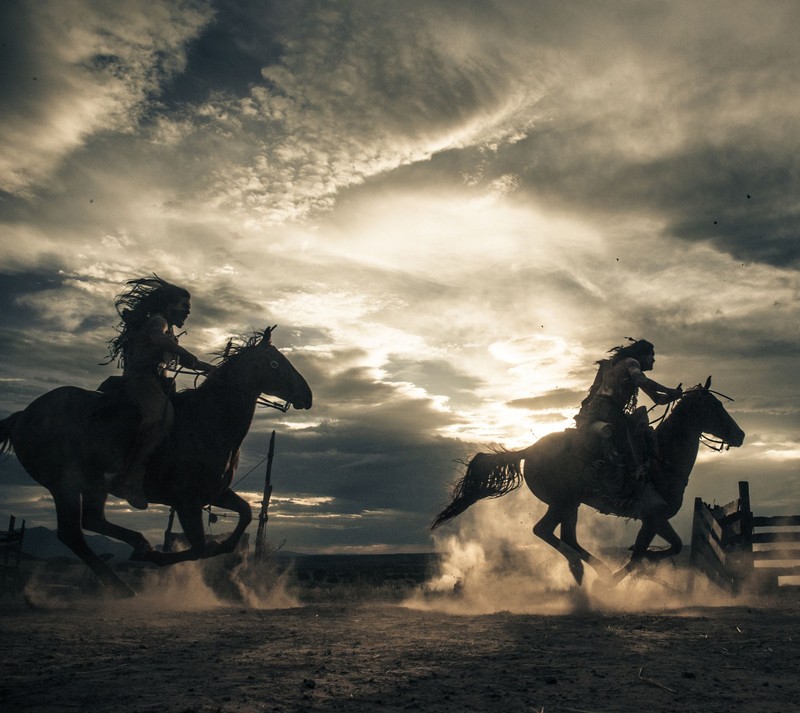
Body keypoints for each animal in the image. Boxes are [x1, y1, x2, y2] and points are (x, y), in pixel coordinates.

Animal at [0, 326, 312, 596]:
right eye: (276, 363)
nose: (307, 395)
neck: (208, 419)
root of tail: (22, 416)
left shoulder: (215, 493)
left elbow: (244, 515)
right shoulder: (186, 501)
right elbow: (200, 547)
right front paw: (159, 558)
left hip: (91, 485)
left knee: (90, 522)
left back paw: (131, 564)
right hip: (64, 485)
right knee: (72, 534)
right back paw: (127, 576)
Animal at [434, 378, 748, 584]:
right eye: (714, 407)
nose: (740, 434)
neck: (663, 458)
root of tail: (529, 450)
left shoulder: (657, 519)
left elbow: (672, 546)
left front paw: (640, 566)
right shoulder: (651, 517)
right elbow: (643, 553)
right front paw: (625, 575)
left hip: (570, 505)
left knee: (566, 536)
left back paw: (589, 570)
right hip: (563, 502)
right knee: (544, 531)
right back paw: (584, 569)